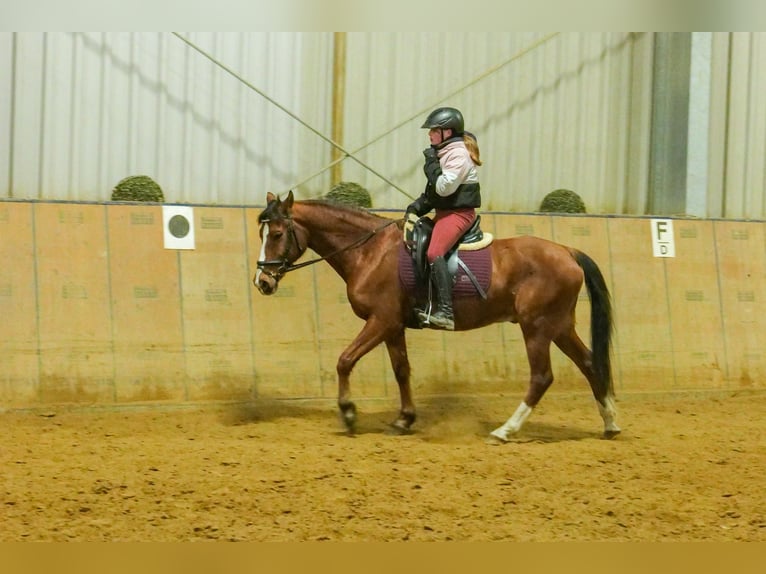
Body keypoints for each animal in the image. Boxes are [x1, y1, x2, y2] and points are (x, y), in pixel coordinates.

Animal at [255, 191, 620, 444]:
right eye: (262, 235)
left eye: (277, 234)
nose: (263, 282)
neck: (370, 251)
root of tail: (567, 252)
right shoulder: (393, 327)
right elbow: (401, 371)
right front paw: (404, 419)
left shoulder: (380, 321)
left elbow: (345, 360)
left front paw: (348, 413)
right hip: (559, 327)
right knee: (589, 363)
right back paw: (610, 424)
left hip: (537, 328)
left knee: (542, 377)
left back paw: (504, 430)